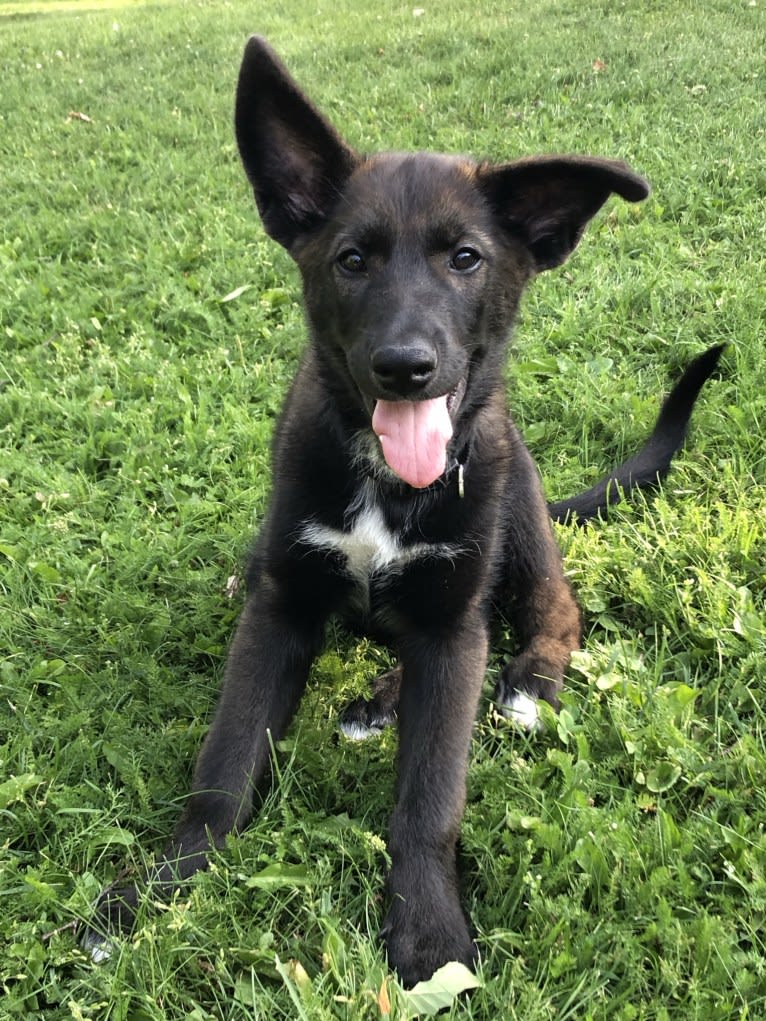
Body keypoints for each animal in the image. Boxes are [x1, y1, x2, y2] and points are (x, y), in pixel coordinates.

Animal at [85, 35, 727, 984]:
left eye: (466, 259)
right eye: (352, 259)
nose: (404, 366)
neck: (385, 482)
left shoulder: (454, 623)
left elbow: (430, 795)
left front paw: (428, 933)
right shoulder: (280, 606)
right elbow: (225, 766)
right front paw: (160, 888)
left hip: (519, 510)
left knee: (555, 613)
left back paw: (524, 683)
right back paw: (381, 696)